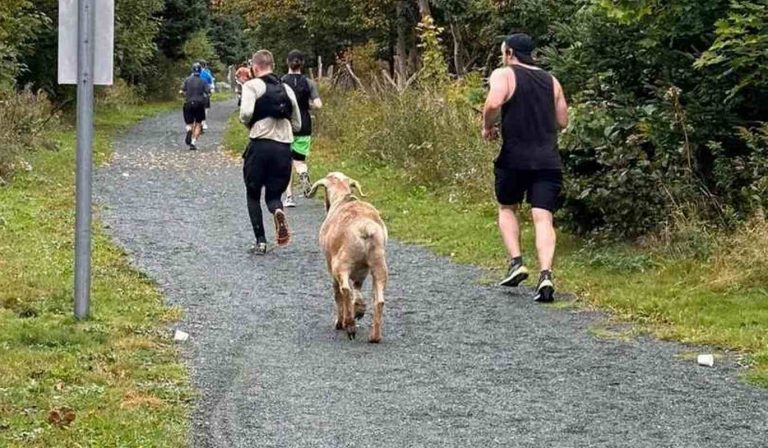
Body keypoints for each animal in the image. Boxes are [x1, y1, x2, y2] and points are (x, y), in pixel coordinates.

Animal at [308, 172, 390, 344]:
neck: (342, 199)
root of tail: (365, 227)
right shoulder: (362, 271)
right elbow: (358, 288)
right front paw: (359, 309)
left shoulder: (330, 265)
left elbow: (337, 293)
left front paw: (340, 322)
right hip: (378, 264)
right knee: (378, 300)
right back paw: (374, 336)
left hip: (341, 264)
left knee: (344, 289)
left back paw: (349, 325)